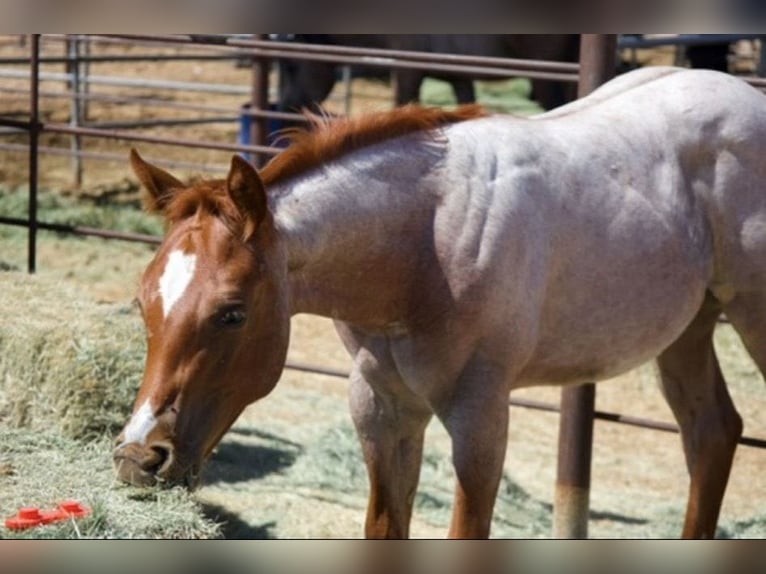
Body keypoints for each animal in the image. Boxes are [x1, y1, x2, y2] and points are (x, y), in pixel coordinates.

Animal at [115, 66, 766, 539]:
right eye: (143, 304)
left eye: (233, 313)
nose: (138, 457)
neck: (421, 247)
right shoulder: (382, 409)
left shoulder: (479, 417)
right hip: (688, 328)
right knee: (712, 434)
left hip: (750, 318)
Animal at [276, 34, 580, 115]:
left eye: (291, 65)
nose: (284, 106)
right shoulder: (460, 78)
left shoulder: (408, 69)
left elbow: (403, 104)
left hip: (546, 74)